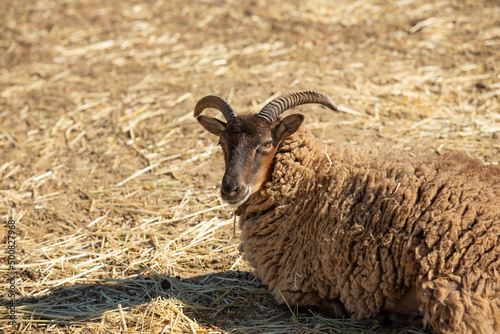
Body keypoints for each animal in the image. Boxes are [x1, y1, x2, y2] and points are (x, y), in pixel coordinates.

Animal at [193, 90, 498, 332]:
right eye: (222, 143)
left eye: (267, 144)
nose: (230, 189)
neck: (311, 184)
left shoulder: (297, 287)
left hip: (454, 294)